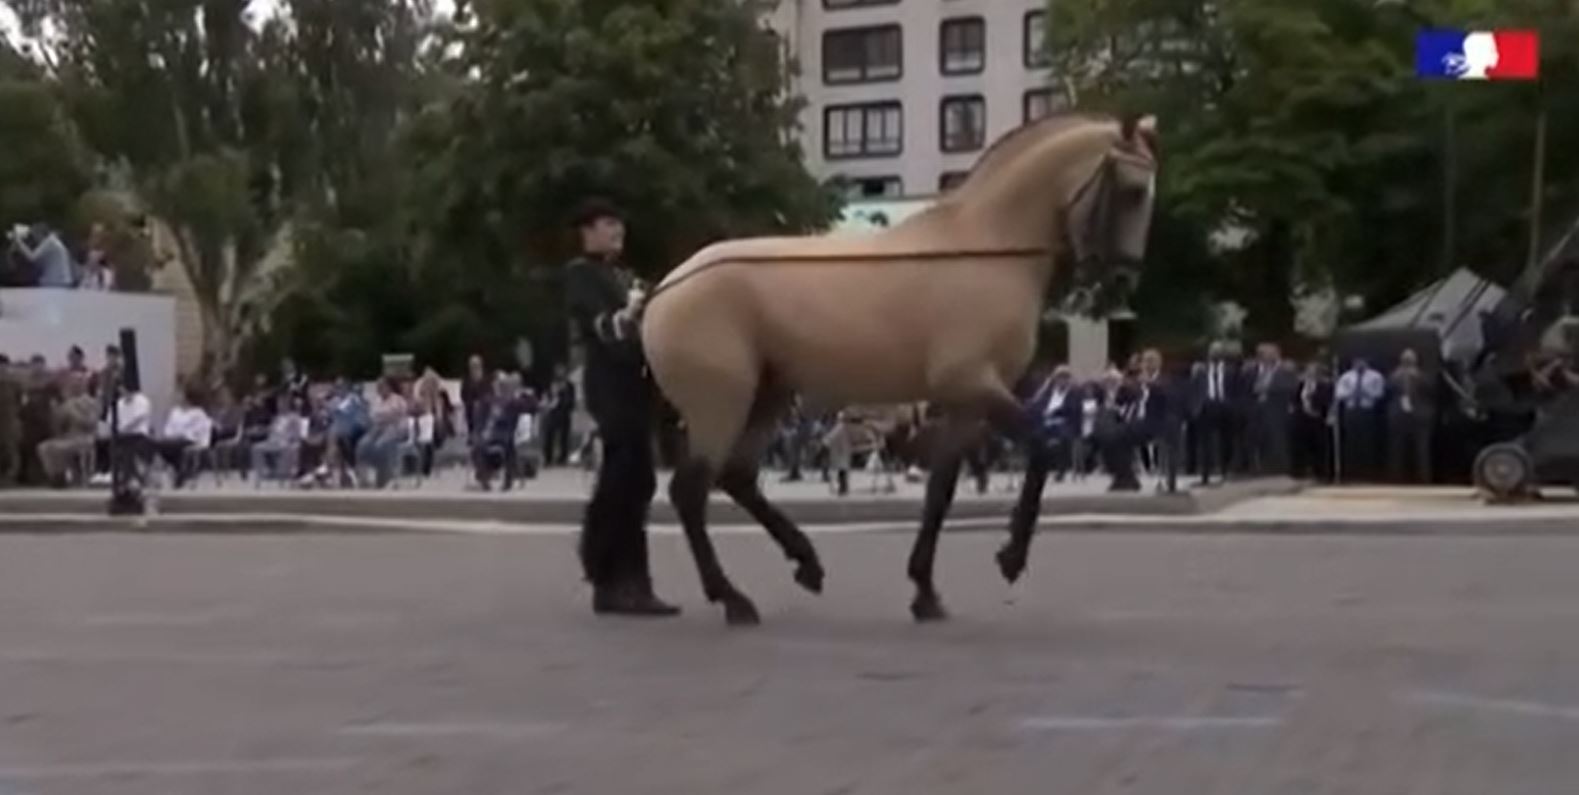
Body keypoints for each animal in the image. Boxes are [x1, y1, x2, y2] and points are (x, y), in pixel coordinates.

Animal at [637, 109, 1162, 625]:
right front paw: (1010, 557)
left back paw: (805, 564)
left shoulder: (965, 402)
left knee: (737, 478)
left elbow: (941, 489)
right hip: (720, 404)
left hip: (768, 395)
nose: (1123, 279)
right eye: (1133, 191)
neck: (985, 247)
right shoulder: (974, 383)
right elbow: (1045, 448)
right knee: (691, 491)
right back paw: (733, 598)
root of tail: (664, 291)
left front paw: (925, 591)